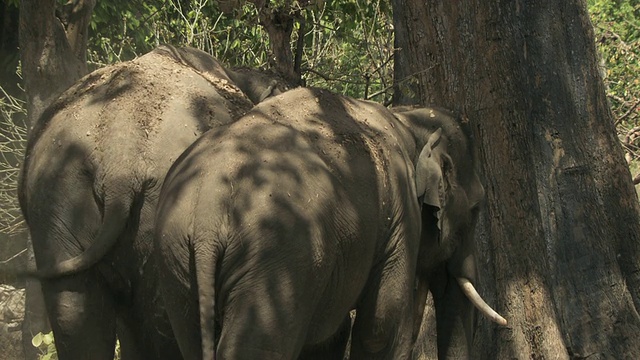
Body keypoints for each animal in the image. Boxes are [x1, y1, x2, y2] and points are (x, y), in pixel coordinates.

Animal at [154, 87, 504, 360]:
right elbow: (382, 329)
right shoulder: (401, 218)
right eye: (476, 209)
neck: (409, 120)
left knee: (192, 339)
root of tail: (206, 221)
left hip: (177, 264)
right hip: (276, 260)